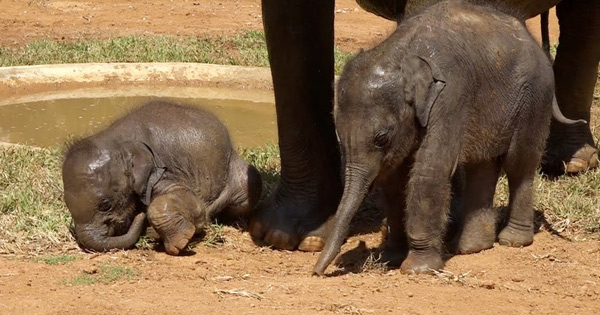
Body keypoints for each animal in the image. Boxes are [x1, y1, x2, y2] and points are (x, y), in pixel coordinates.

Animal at [62, 101, 262, 256]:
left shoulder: (164, 170)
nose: (140, 217)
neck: (117, 141)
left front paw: (180, 242)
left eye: (105, 205)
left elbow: (193, 203)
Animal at [312, 0, 584, 276]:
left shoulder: (450, 96)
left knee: (519, 164)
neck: (400, 54)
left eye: (381, 138)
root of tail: (531, 39)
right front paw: (389, 258)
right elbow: (393, 178)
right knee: (482, 166)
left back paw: (513, 241)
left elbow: (430, 170)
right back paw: (470, 247)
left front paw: (417, 269)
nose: (317, 271)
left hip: (534, 98)